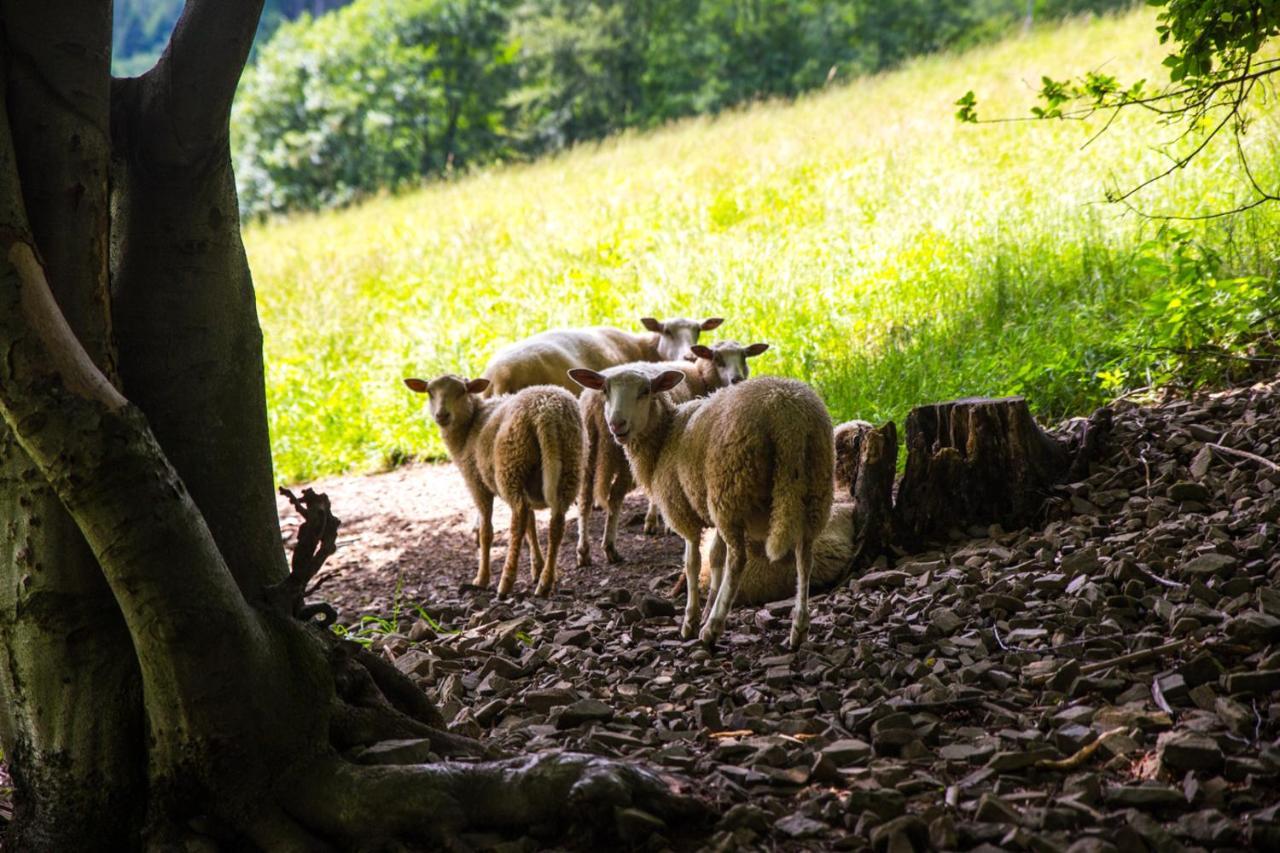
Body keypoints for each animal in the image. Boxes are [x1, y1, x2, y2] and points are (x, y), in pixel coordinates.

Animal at [401, 371, 583, 591]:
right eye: (430, 392)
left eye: (462, 391)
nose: (442, 415)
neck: (469, 426)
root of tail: (546, 412)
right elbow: (531, 526)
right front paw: (537, 568)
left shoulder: (476, 482)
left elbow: (486, 531)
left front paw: (482, 578)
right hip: (568, 462)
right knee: (555, 523)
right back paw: (545, 582)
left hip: (510, 465)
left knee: (517, 521)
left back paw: (506, 582)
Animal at [568, 368, 829, 648]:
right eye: (605, 391)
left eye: (645, 391)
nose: (617, 425)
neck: (665, 435)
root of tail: (788, 418)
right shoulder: (710, 508)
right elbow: (714, 557)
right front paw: (706, 607)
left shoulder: (683, 511)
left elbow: (692, 563)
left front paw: (692, 621)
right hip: (812, 491)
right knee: (804, 557)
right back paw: (799, 628)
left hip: (730, 489)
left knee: (738, 560)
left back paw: (713, 628)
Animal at [581, 338, 768, 563]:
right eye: (717, 359)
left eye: (744, 356)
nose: (737, 380)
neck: (700, 375)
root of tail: (592, 403)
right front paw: (658, 523)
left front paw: (653, 521)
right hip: (619, 456)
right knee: (615, 497)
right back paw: (610, 548)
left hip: (588, 450)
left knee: (584, 498)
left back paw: (583, 552)